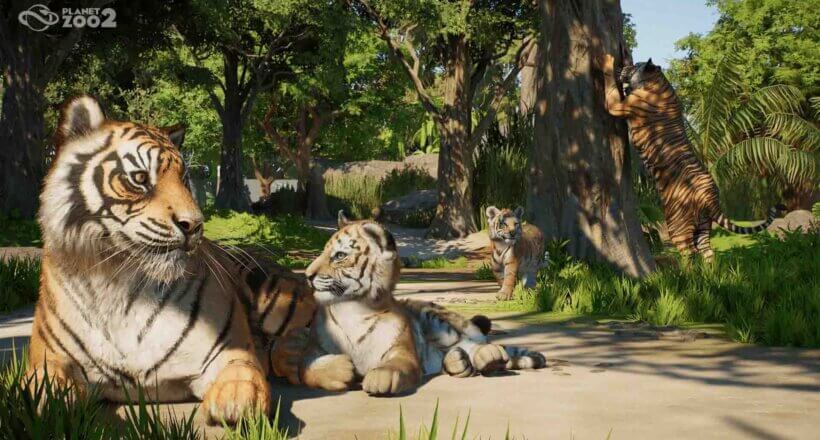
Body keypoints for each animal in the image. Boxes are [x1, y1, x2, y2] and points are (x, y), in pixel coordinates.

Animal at [28, 95, 315, 425]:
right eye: (140, 178)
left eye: (185, 180)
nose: (195, 225)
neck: (119, 282)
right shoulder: (50, 358)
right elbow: (42, 386)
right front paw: (47, 404)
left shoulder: (229, 349)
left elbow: (243, 370)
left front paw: (237, 400)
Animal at [297, 211, 546, 396]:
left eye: (339, 255)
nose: (307, 275)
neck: (354, 309)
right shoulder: (311, 350)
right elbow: (307, 369)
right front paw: (343, 369)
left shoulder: (402, 349)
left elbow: (397, 366)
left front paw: (380, 377)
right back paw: (458, 362)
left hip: (439, 321)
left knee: (475, 342)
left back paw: (489, 356)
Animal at [603, 55, 784, 261]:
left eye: (634, 66)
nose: (624, 67)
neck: (658, 81)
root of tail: (710, 195)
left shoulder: (618, 106)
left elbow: (610, 86)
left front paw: (607, 61)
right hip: (704, 225)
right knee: (708, 252)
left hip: (677, 224)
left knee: (689, 253)